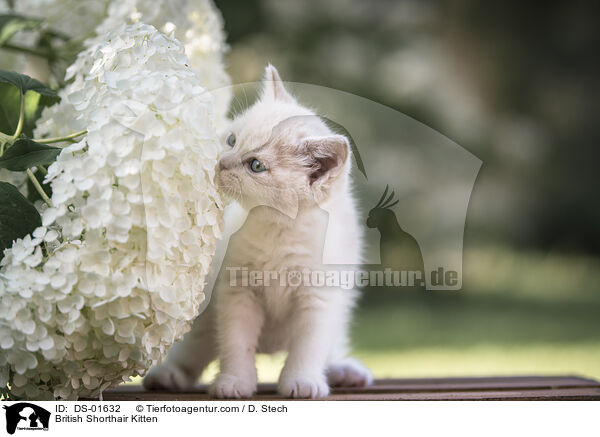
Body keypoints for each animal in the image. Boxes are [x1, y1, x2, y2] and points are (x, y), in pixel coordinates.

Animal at [144, 65, 372, 398]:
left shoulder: (319, 296)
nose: (221, 164)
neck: (276, 228)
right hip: (203, 323)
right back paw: (169, 375)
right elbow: (237, 341)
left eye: (256, 165)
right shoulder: (237, 290)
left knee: (330, 348)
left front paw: (302, 380)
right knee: (193, 351)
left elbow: (309, 345)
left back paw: (345, 371)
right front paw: (235, 381)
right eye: (231, 139)